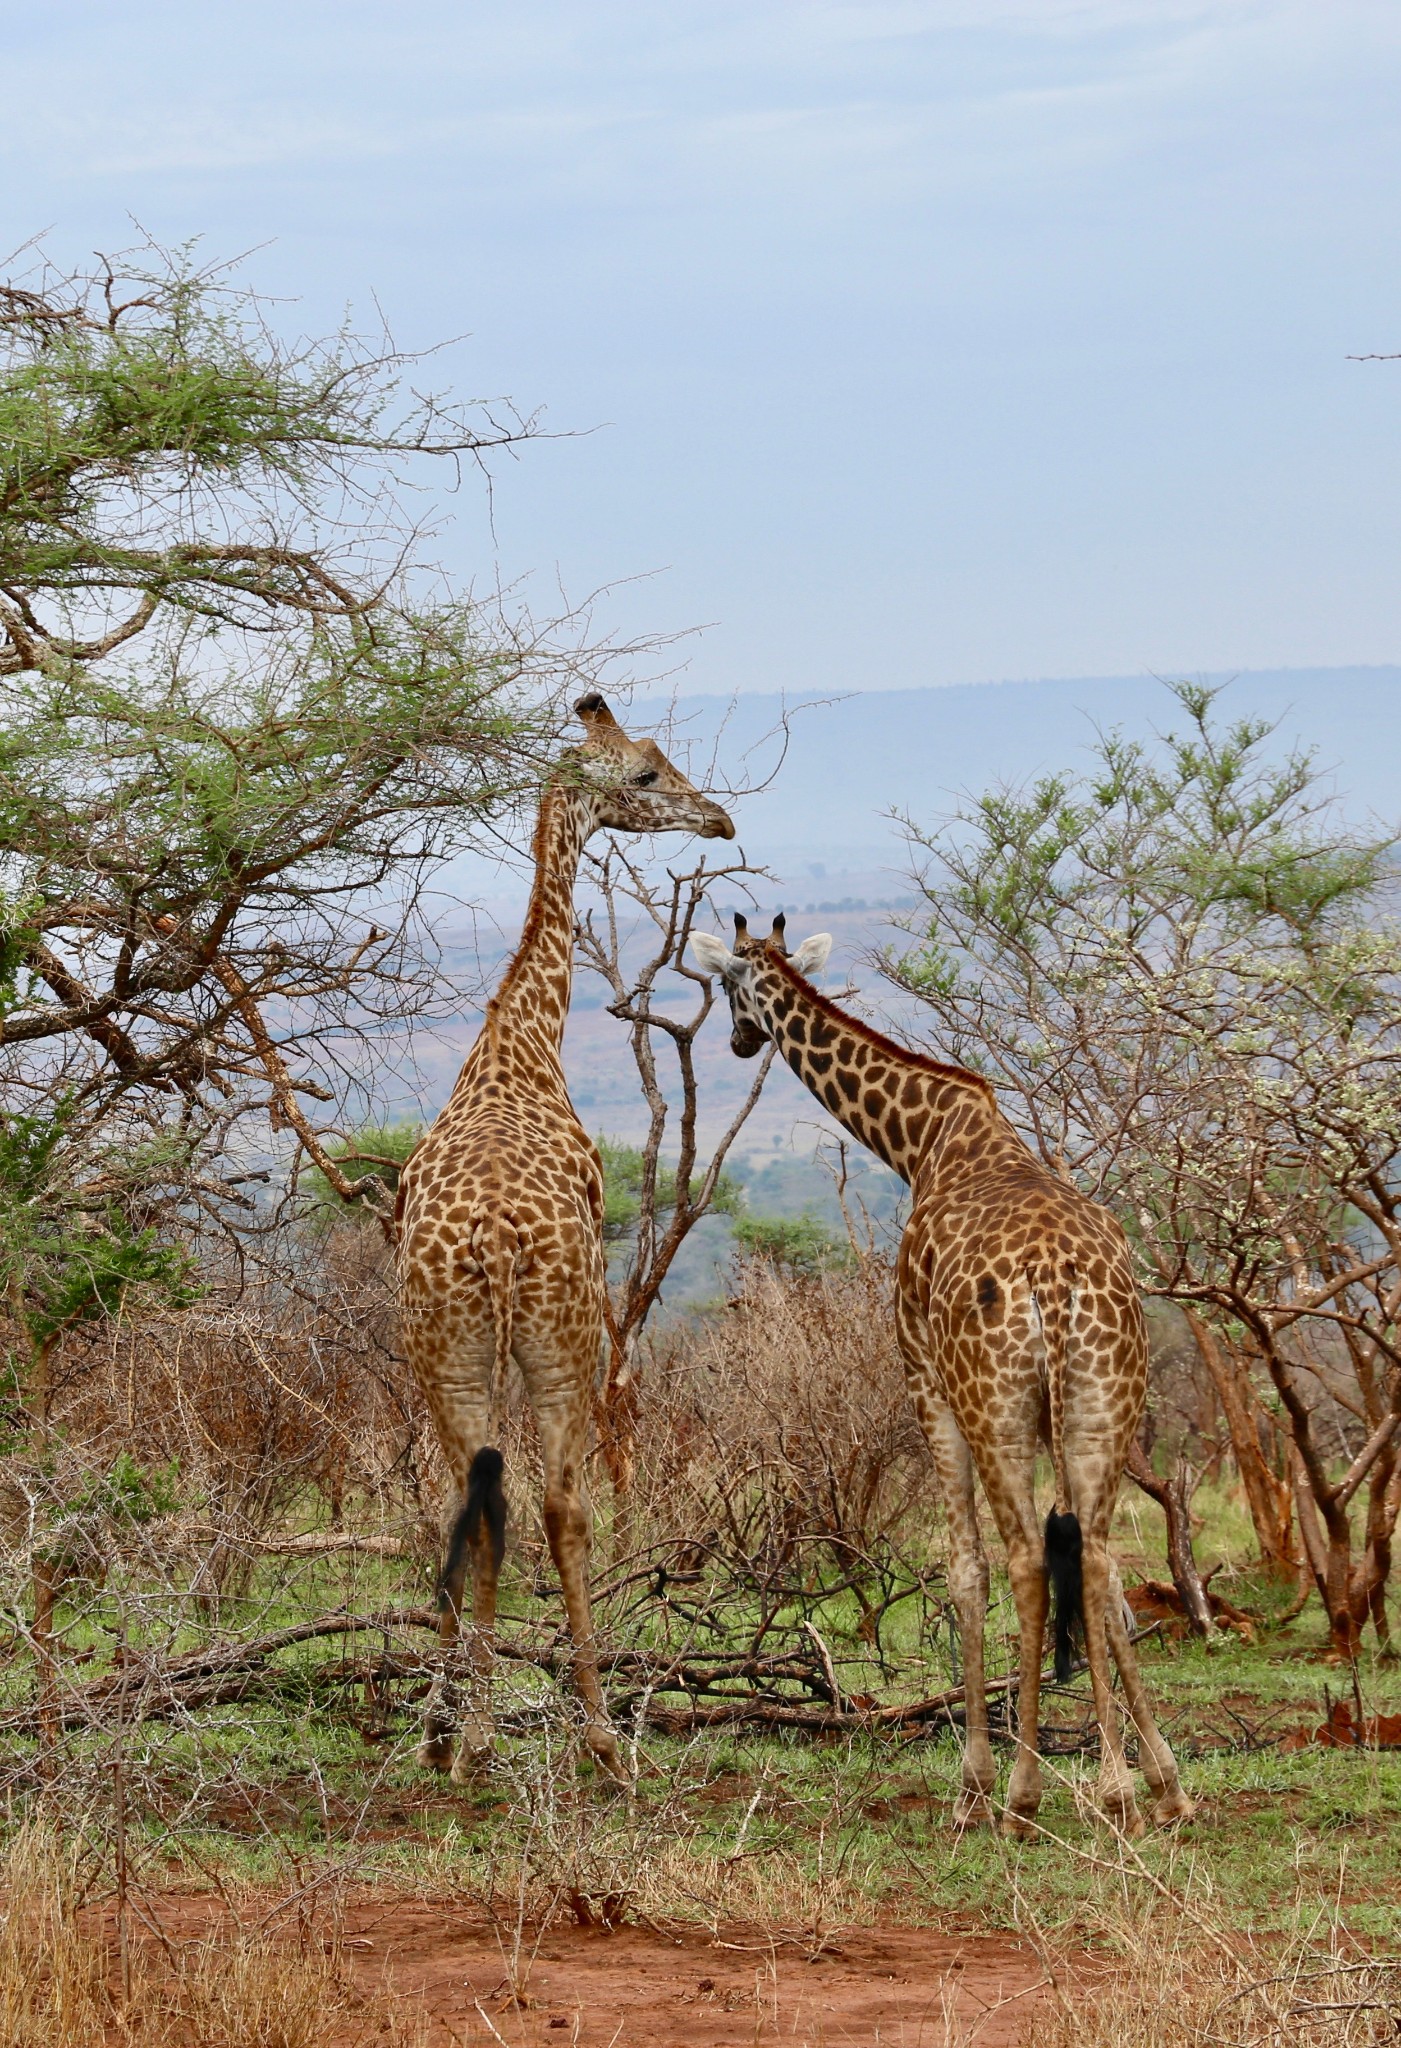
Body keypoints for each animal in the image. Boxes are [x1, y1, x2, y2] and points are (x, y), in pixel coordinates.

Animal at [397, 696, 733, 1785]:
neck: (518, 1046)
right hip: (561, 1341)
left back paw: (456, 1730)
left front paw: (453, 1718)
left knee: (472, 1505)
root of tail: (496, 1240)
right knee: (559, 1506)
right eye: (646, 773)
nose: (719, 819)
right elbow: (565, 1509)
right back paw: (591, 1727)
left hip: (445, 1350)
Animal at [688, 913, 1196, 1843]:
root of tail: (1055, 1285)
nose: (740, 1041)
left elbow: (963, 1570)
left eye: (726, 983)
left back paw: (1025, 1795)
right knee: (1099, 1557)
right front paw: (1159, 1781)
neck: (922, 1140)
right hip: (1101, 1402)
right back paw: (1131, 1790)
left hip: (993, 1406)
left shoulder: (922, 1377)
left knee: (1025, 1561)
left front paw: (972, 1787)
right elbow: (1099, 1582)